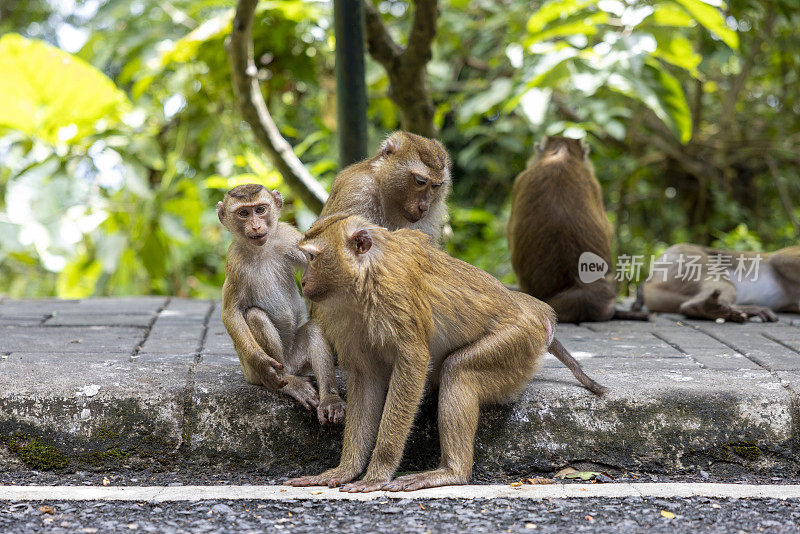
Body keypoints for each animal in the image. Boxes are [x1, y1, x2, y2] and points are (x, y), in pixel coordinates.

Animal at [219, 185, 344, 428]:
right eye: (243, 213)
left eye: (260, 209)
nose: (256, 226)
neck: (261, 249)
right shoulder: (234, 262)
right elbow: (231, 313)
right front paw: (262, 362)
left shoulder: (288, 237)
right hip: (256, 372)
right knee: (255, 316)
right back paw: (289, 383)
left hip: (298, 359)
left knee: (314, 329)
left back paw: (329, 399)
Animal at [284, 214, 604, 494]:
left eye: (312, 258)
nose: (304, 282)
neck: (363, 279)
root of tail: (535, 312)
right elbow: (366, 377)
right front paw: (346, 469)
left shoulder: (395, 298)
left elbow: (413, 363)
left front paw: (377, 473)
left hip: (518, 342)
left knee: (459, 369)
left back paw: (452, 472)